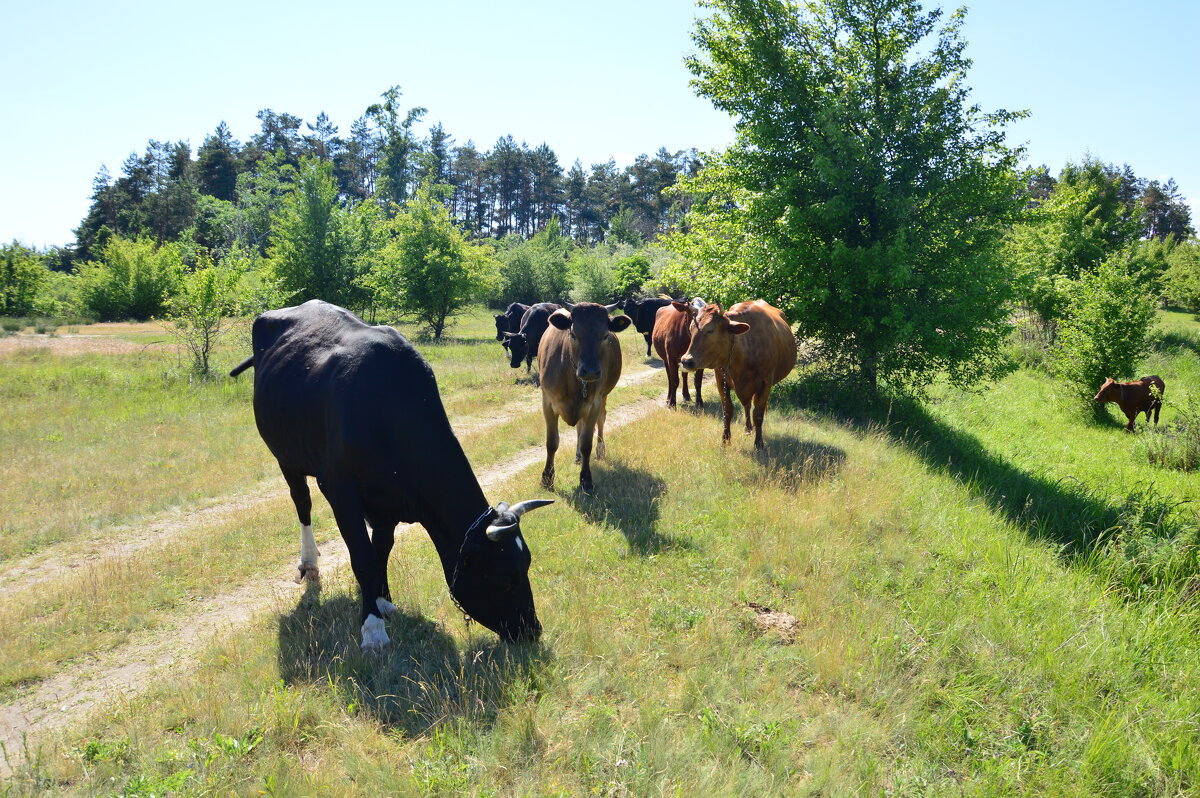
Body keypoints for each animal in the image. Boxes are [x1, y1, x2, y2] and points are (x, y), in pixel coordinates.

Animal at [229, 302, 552, 652]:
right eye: (505, 578)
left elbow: (382, 548)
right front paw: (372, 628)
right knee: (302, 503)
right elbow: (362, 557)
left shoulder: (389, 498)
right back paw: (309, 562)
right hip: (286, 455)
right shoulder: (340, 489)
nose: (532, 630)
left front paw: (382, 600)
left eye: (528, 563)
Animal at [535, 303, 628, 492]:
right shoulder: (547, 403)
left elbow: (587, 443)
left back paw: (600, 450)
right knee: (579, 426)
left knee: (601, 420)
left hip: (603, 397)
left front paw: (586, 480)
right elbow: (551, 442)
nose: (590, 371)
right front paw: (547, 478)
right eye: (573, 334)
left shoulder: (593, 404)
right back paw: (577, 456)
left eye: (605, 335)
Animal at [676, 298, 796, 448]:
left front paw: (759, 443)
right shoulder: (721, 381)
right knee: (747, 404)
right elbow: (728, 410)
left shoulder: (765, 383)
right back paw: (748, 428)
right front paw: (725, 440)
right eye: (691, 329)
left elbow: (758, 414)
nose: (686, 361)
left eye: (710, 330)